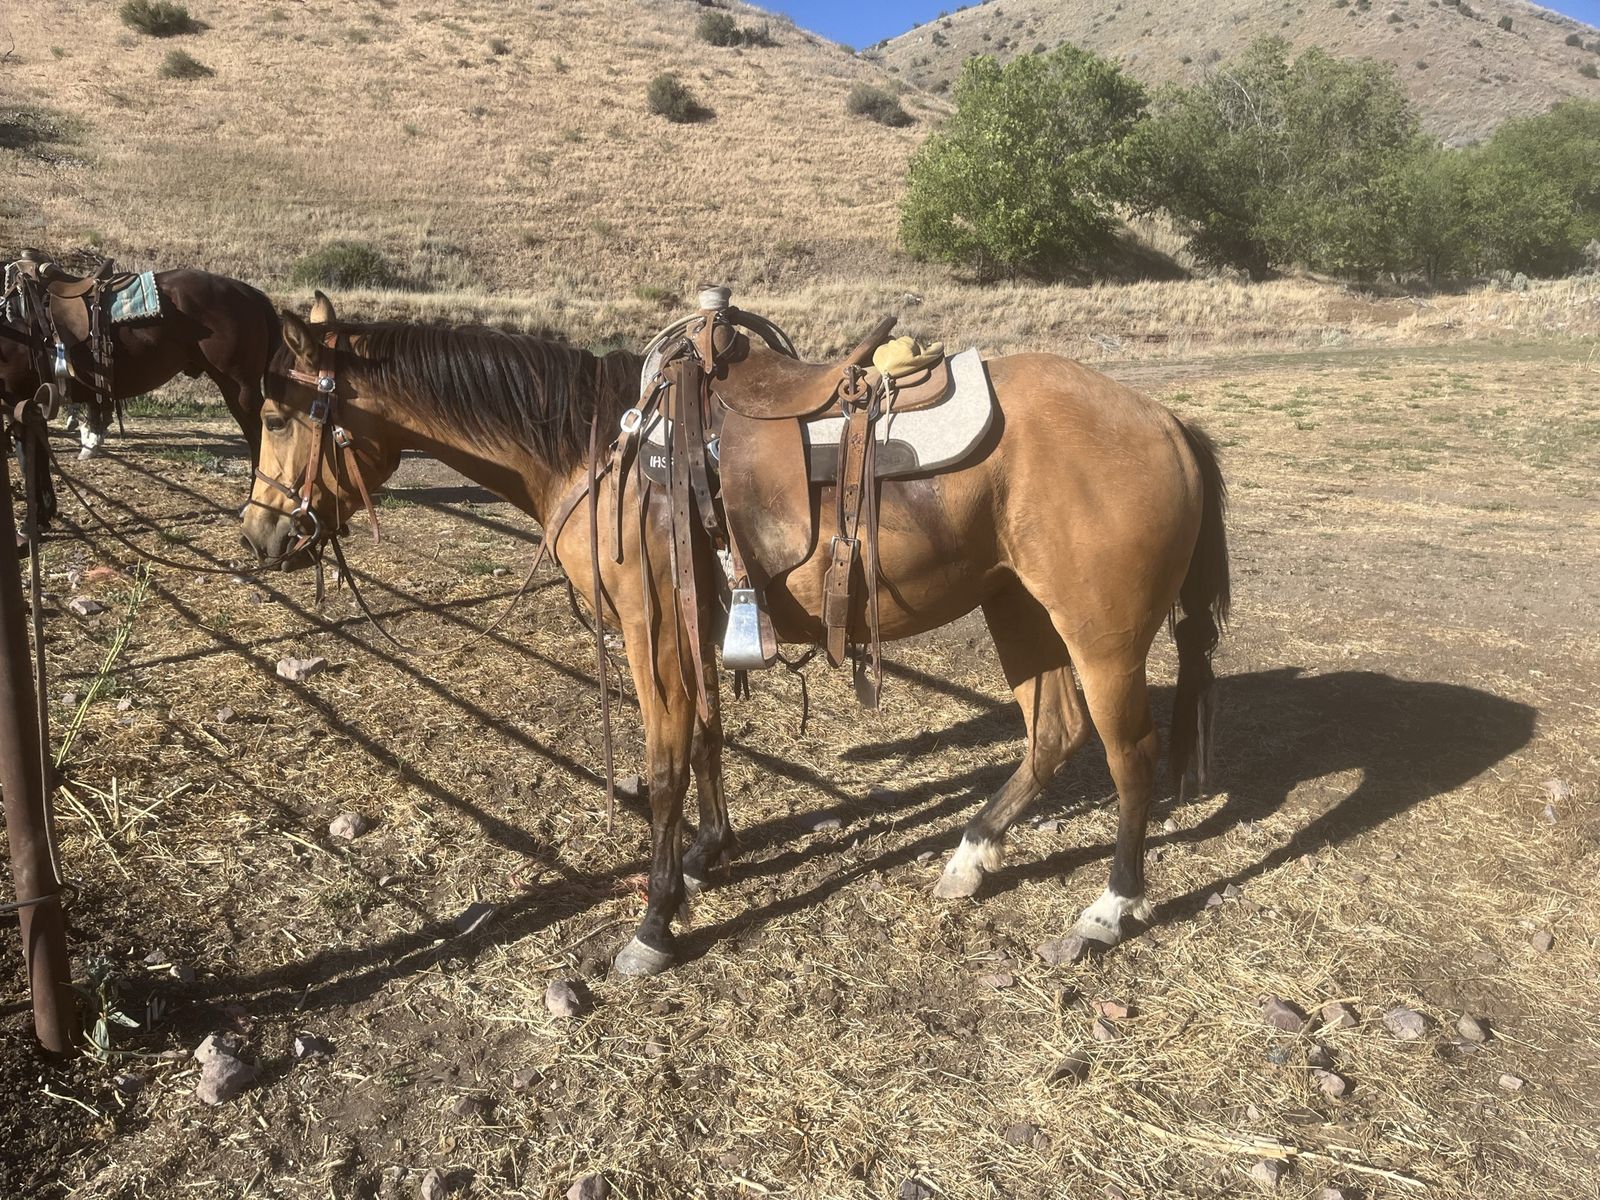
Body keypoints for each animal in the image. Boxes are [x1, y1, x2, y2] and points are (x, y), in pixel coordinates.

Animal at [239, 294, 1230, 977]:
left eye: (280, 415)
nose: (261, 538)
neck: (599, 449)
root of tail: (1166, 420)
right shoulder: (694, 627)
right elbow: (708, 739)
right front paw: (711, 854)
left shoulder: (651, 631)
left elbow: (665, 763)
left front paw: (653, 922)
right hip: (1019, 609)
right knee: (1052, 733)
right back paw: (970, 858)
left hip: (1101, 638)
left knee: (1131, 755)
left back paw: (1108, 907)